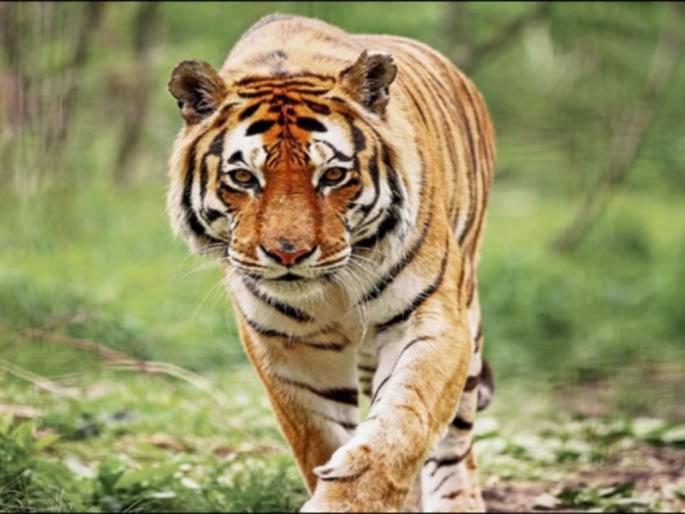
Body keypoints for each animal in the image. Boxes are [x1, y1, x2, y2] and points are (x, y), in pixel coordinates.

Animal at [166, 13, 495, 512]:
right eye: (243, 177)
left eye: (334, 175)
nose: (288, 252)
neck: (333, 289)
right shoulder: (289, 345)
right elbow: (320, 438)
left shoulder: (430, 315)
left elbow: (404, 417)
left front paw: (354, 496)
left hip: (468, 314)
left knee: (454, 447)